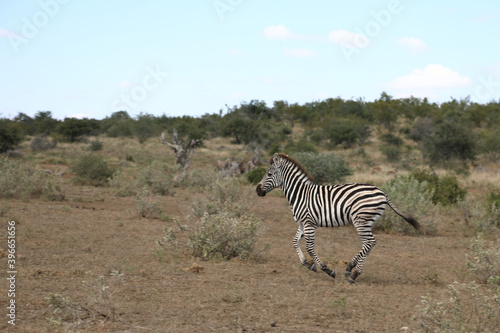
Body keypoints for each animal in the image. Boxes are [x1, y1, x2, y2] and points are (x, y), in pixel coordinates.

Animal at [256, 152, 420, 282]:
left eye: (269, 174)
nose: (257, 190)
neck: (301, 194)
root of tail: (381, 191)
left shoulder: (309, 223)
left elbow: (309, 247)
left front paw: (327, 270)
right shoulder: (302, 223)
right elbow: (295, 242)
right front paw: (308, 265)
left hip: (360, 219)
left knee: (369, 242)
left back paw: (352, 272)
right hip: (367, 221)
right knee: (367, 244)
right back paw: (352, 271)